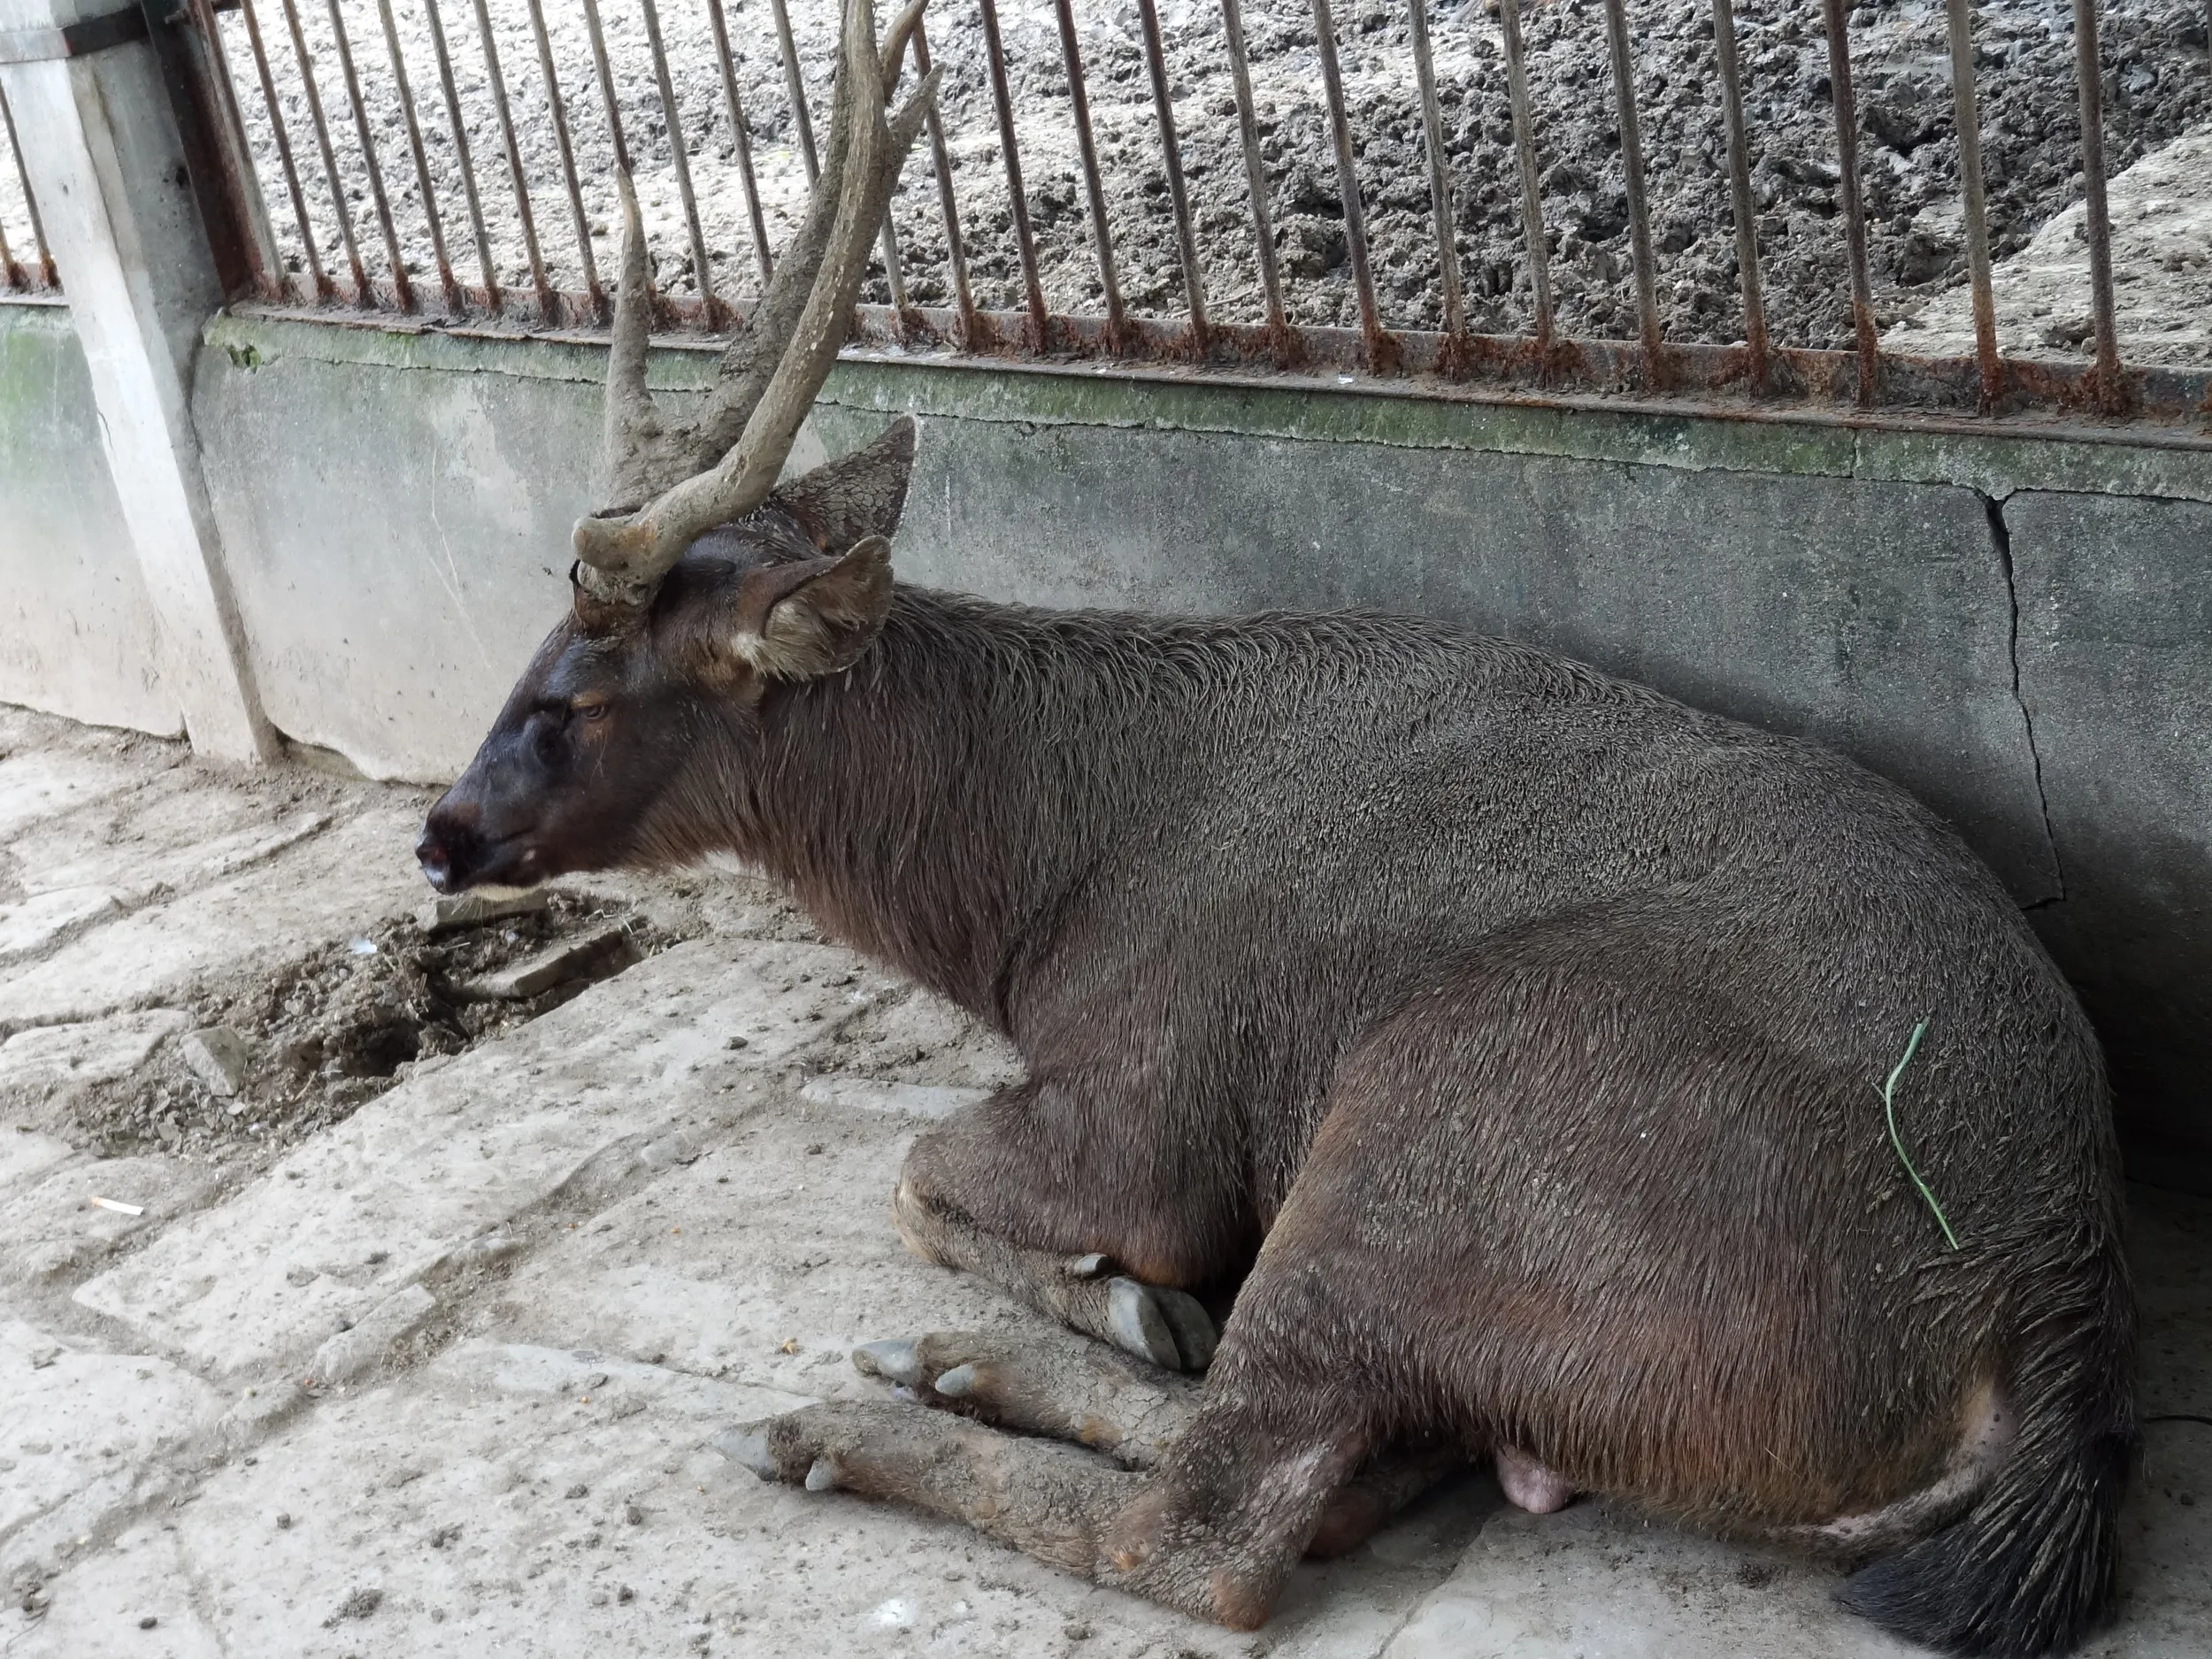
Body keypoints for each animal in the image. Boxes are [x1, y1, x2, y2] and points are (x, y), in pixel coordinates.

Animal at [412, 2, 2136, 1651]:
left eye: (577, 693)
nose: (440, 836)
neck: (1027, 903)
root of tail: (2041, 1357)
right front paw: (1094, 1314)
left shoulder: (1148, 1105)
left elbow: (921, 1171)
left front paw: (1111, 1296)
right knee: (1355, 1469)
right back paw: (965, 1363)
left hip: (1426, 1135)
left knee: (1212, 1528)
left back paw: (854, 1417)